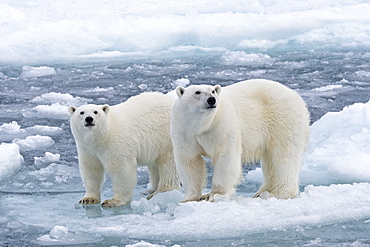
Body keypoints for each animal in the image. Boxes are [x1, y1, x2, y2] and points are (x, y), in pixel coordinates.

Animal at [172, 79, 310, 203]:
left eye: (213, 91)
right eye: (197, 92)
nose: (211, 100)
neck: (201, 126)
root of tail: (296, 96)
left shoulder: (222, 125)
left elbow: (226, 157)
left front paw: (213, 195)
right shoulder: (184, 132)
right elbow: (189, 160)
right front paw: (188, 198)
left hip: (283, 119)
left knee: (284, 156)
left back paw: (278, 193)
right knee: (270, 159)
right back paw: (262, 191)